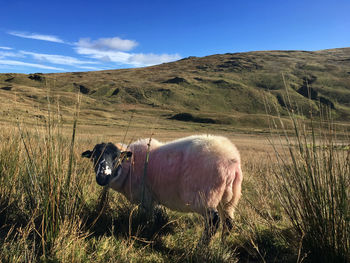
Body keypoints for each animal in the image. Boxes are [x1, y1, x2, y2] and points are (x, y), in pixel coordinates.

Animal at [81, 135, 243, 244]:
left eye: (116, 158)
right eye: (94, 157)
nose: (102, 177)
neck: (129, 167)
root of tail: (232, 161)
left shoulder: (146, 198)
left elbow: (148, 218)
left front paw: (145, 232)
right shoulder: (154, 198)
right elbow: (157, 215)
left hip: (206, 197)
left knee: (213, 222)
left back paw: (202, 246)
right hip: (229, 199)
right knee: (228, 222)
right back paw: (223, 244)